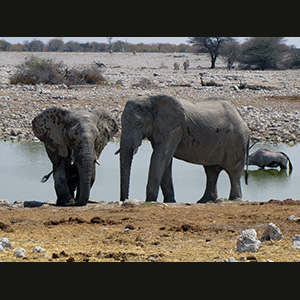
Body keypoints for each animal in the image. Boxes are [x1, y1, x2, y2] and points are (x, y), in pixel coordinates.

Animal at [118, 95, 250, 204]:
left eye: (139, 124)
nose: (124, 200)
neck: (151, 98)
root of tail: (243, 120)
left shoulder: (175, 129)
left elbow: (160, 157)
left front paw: (150, 201)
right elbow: (166, 160)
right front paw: (170, 201)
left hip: (236, 141)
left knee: (233, 171)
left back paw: (234, 199)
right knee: (211, 172)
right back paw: (204, 201)